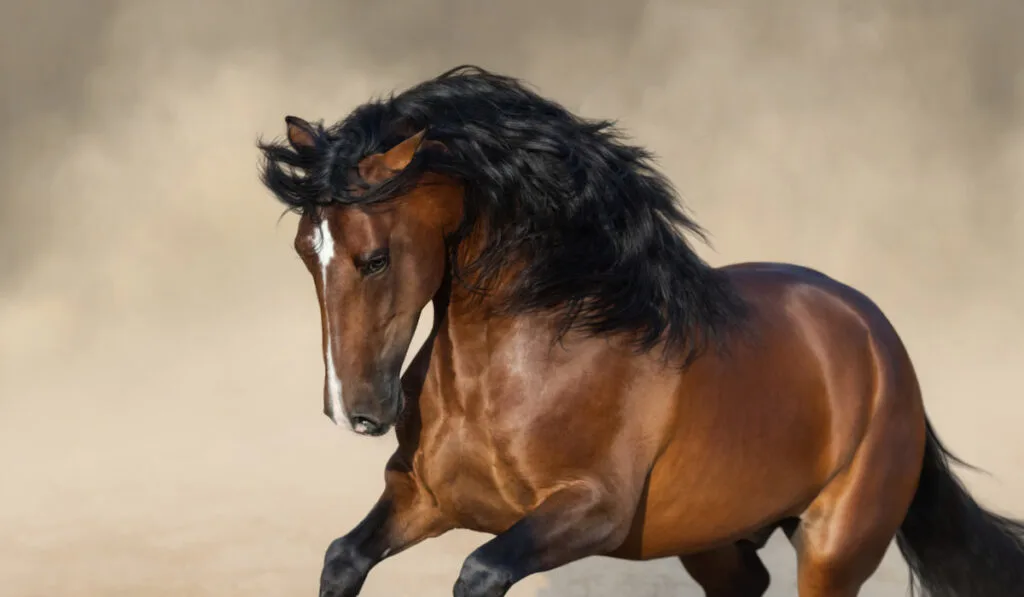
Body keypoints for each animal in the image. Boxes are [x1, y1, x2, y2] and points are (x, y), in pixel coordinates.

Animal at [256, 65, 1024, 597]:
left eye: (375, 258)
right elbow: (343, 557)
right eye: (304, 251)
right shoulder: (422, 497)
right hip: (714, 538)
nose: (355, 410)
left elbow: (478, 570)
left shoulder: (590, 512)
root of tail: (879, 339)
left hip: (833, 549)